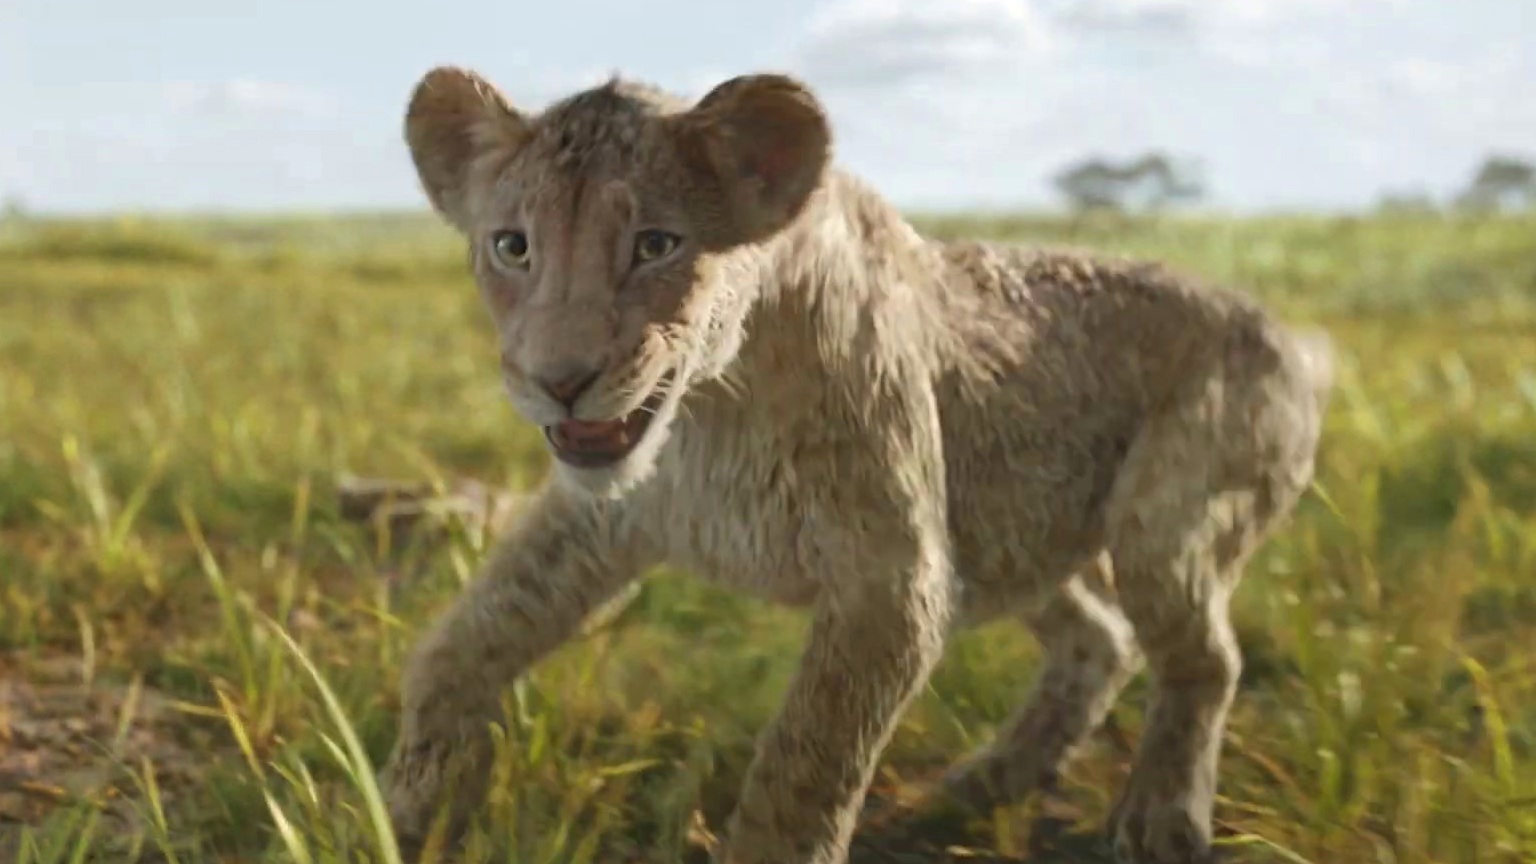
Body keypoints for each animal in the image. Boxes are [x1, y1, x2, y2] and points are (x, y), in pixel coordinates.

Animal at [379, 65, 1335, 864]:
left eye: (655, 245)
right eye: (512, 246)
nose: (559, 382)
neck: (706, 411)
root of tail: (1290, 334)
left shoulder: (890, 585)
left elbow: (803, 770)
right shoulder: (598, 517)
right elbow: (459, 645)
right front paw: (399, 813)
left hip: (1161, 520)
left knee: (1203, 657)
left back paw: (1156, 817)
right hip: (1006, 534)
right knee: (1101, 639)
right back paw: (979, 786)